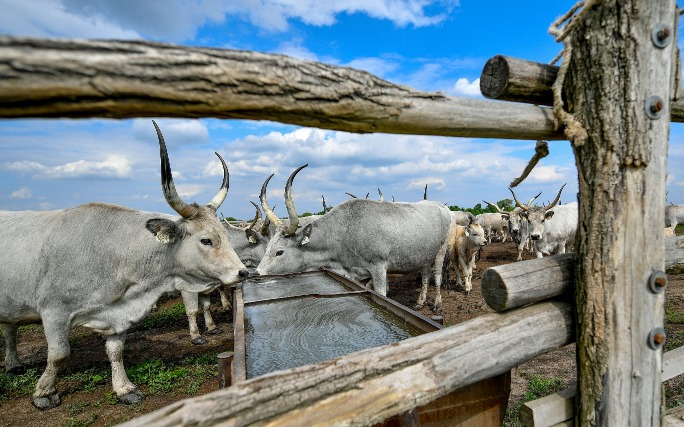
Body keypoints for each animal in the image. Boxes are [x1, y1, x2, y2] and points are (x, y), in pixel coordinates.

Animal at [0, 121, 250, 412]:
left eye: (225, 234)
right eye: (206, 239)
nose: (243, 272)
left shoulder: (118, 315)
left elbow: (116, 351)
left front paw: (124, 388)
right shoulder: (54, 311)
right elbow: (59, 354)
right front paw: (44, 393)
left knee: (9, 328)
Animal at [256, 166, 454, 312]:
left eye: (279, 252)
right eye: (268, 247)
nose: (256, 273)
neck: (344, 232)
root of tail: (441, 206)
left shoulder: (378, 268)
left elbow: (382, 292)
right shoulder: (355, 274)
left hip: (441, 250)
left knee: (436, 276)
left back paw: (437, 304)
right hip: (424, 255)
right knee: (426, 275)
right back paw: (420, 302)